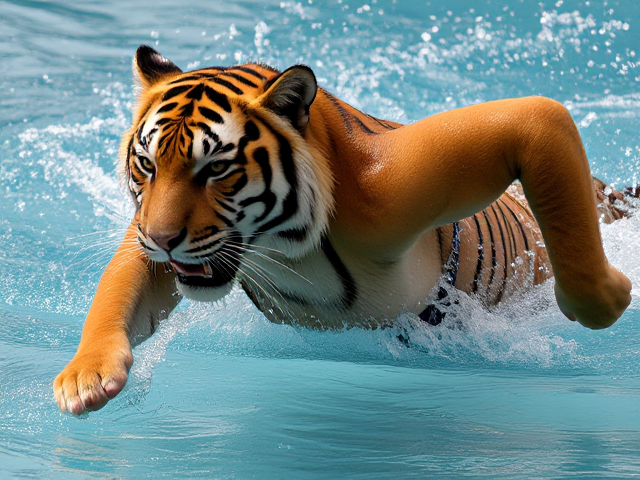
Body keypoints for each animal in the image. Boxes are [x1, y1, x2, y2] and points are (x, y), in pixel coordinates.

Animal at [54, 45, 632, 415]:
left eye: (215, 168)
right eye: (147, 166)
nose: (162, 238)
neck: (283, 243)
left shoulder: (401, 186)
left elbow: (543, 113)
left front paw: (613, 294)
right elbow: (122, 289)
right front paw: (89, 376)